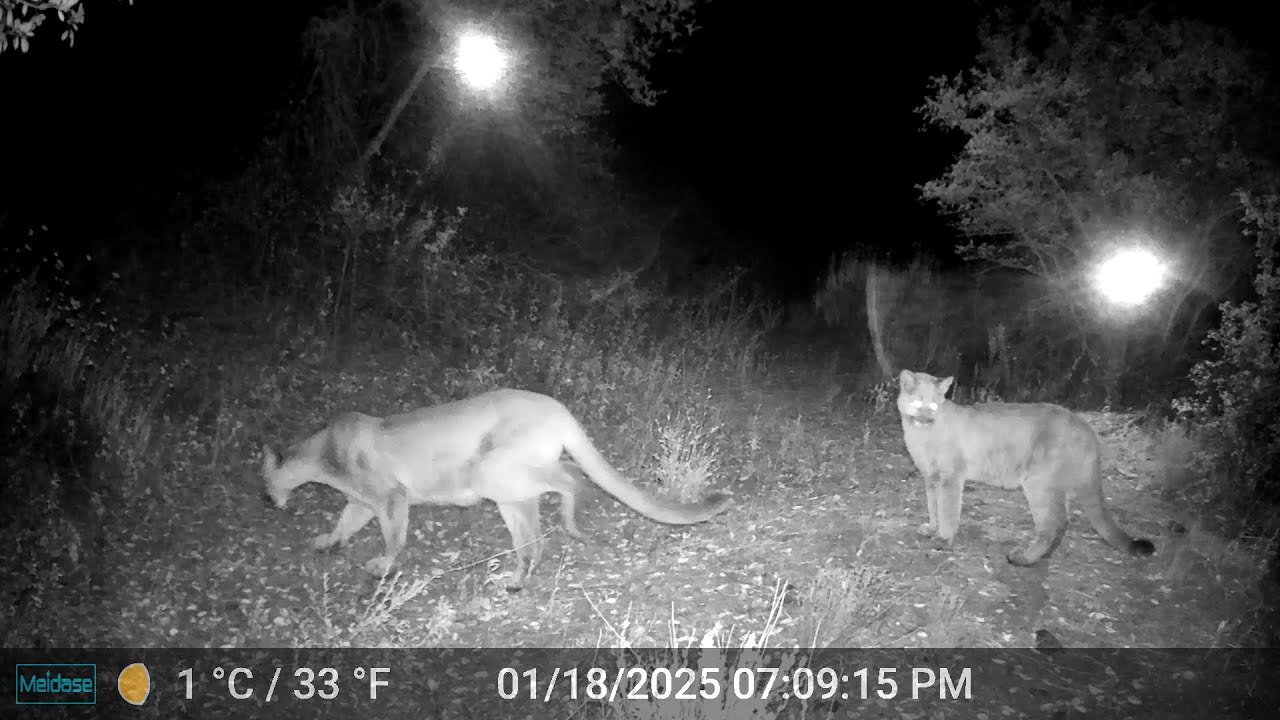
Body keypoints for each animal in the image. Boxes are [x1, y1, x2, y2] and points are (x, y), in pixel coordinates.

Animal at [261, 388, 732, 590]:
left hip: (489, 471)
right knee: (534, 537)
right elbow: (345, 523)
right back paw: (517, 578)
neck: (323, 451)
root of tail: (557, 407)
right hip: (511, 490)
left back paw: (569, 520)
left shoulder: (390, 497)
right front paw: (327, 541)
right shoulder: (362, 501)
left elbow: (393, 535)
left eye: (264, 488)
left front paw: (383, 564)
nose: (269, 502)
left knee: (570, 478)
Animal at [897, 370, 1154, 565]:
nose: (927, 419)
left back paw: (1024, 558)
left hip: (1038, 482)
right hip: (1056, 486)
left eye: (933, 405)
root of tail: (1085, 426)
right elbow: (933, 505)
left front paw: (943, 539)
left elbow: (948, 510)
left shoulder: (950, 478)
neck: (922, 433)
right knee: (1063, 520)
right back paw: (1044, 556)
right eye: (918, 403)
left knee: (1051, 524)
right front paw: (932, 528)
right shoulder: (931, 477)